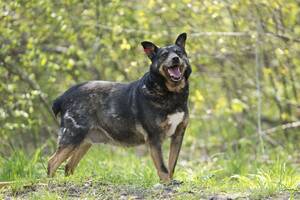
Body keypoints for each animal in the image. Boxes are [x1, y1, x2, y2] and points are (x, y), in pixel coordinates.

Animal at [47, 32, 191, 181]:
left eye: (179, 53)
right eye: (164, 55)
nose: (175, 59)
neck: (171, 93)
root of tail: (64, 96)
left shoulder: (178, 136)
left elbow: (171, 166)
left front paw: (171, 181)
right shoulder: (154, 138)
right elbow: (163, 168)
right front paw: (167, 183)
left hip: (84, 141)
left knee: (68, 166)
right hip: (72, 136)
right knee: (52, 162)